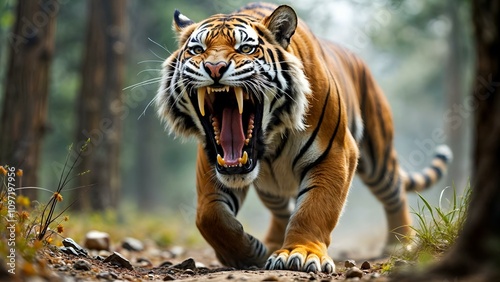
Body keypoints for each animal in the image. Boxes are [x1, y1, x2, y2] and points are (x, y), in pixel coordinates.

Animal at [154, 1, 452, 272]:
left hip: (378, 157)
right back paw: (271, 243)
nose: (215, 68)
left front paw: (300, 253)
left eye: (245, 49)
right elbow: (209, 216)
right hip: (271, 189)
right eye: (197, 50)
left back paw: (400, 243)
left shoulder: (336, 152)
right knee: (281, 211)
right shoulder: (213, 161)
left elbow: (314, 209)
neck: (270, 139)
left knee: (395, 192)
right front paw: (248, 253)